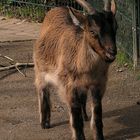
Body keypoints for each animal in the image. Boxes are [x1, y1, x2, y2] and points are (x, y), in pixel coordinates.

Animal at [33, 0, 117, 139]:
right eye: (92, 31)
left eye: (115, 28)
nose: (111, 52)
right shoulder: (69, 86)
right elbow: (76, 119)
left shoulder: (98, 84)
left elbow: (97, 115)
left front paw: (99, 136)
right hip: (40, 69)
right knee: (42, 90)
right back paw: (44, 122)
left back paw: (85, 116)